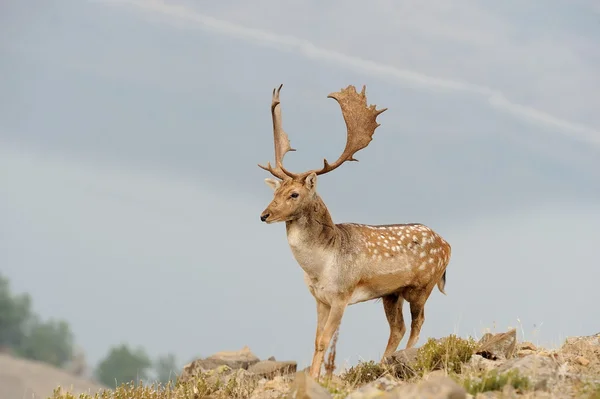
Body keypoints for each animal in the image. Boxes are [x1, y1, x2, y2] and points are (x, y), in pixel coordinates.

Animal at [256, 83, 450, 380]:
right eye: (274, 192)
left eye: (294, 194)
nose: (264, 215)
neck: (321, 265)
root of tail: (447, 245)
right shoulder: (320, 298)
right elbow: (315, 340)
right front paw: (313, 377)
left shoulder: (342, 295)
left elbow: (325, 340)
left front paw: (316, 379)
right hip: (391, 294)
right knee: (398, 327)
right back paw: (384, 363)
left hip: (422, 286)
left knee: (418, 323)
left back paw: (404, 358)